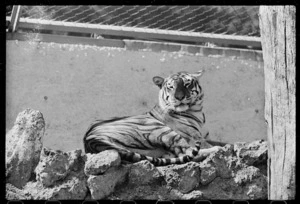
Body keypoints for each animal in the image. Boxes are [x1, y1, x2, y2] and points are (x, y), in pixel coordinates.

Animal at [83, 70, 224, 166]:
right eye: (171, 87)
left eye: (187, 84)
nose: (179, 97)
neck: (197, 111)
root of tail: (91, 140)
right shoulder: (195, 137)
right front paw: (220, 147)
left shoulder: (204, 136)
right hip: (159, 128)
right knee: (189, 154)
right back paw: (215, 150)